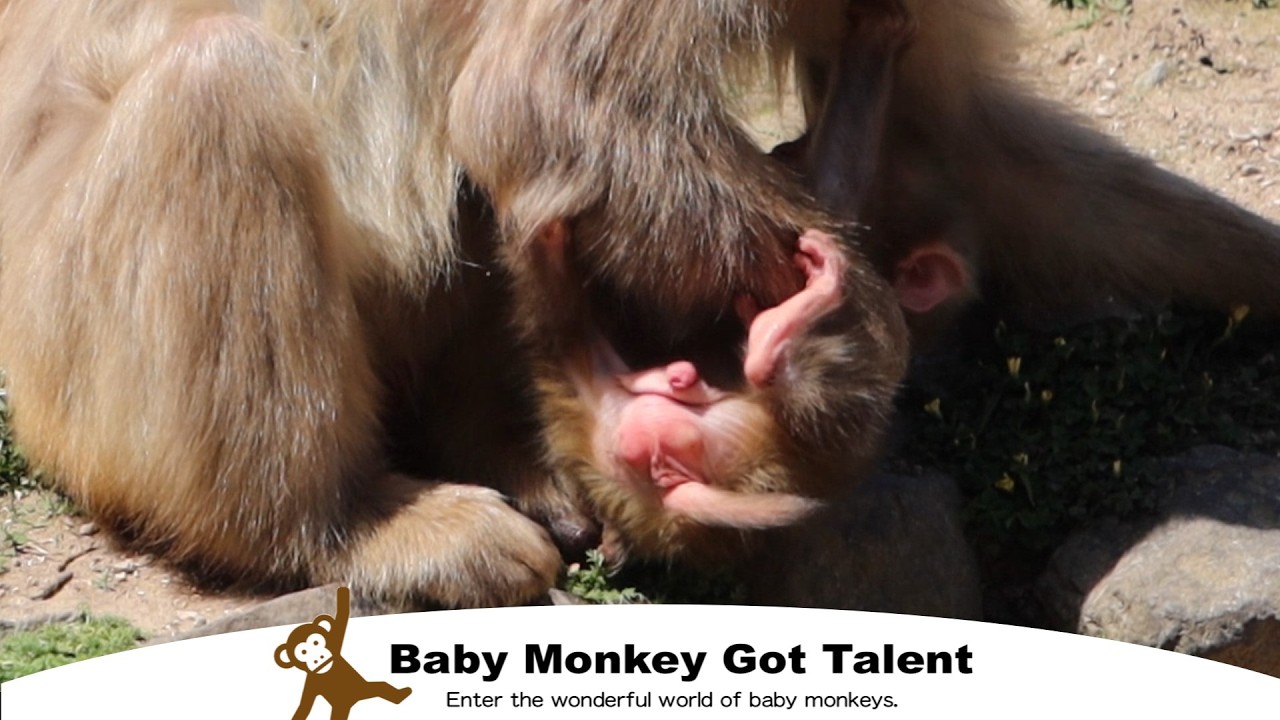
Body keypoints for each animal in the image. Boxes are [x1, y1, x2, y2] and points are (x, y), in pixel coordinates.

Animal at [0, 0, 909, 608]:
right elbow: (551, 108)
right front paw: (834, 333)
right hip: (64, 334)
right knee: (219, 85)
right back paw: (345, 525)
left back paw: (495, 451)